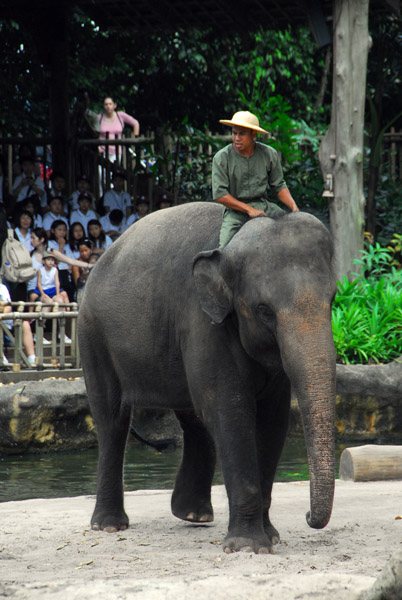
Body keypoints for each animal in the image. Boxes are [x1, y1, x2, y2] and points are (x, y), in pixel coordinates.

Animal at [78, 202, 336, 552]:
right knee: (111, 418)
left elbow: (273, 421)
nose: (309, 517)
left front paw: (271, 537)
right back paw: (108, 525)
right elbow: (230, 413)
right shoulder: (203, 322)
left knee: (194, 420)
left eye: (333, 300)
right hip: (93, 334)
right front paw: (249, 547)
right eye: (264, 310)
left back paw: (193, 515)